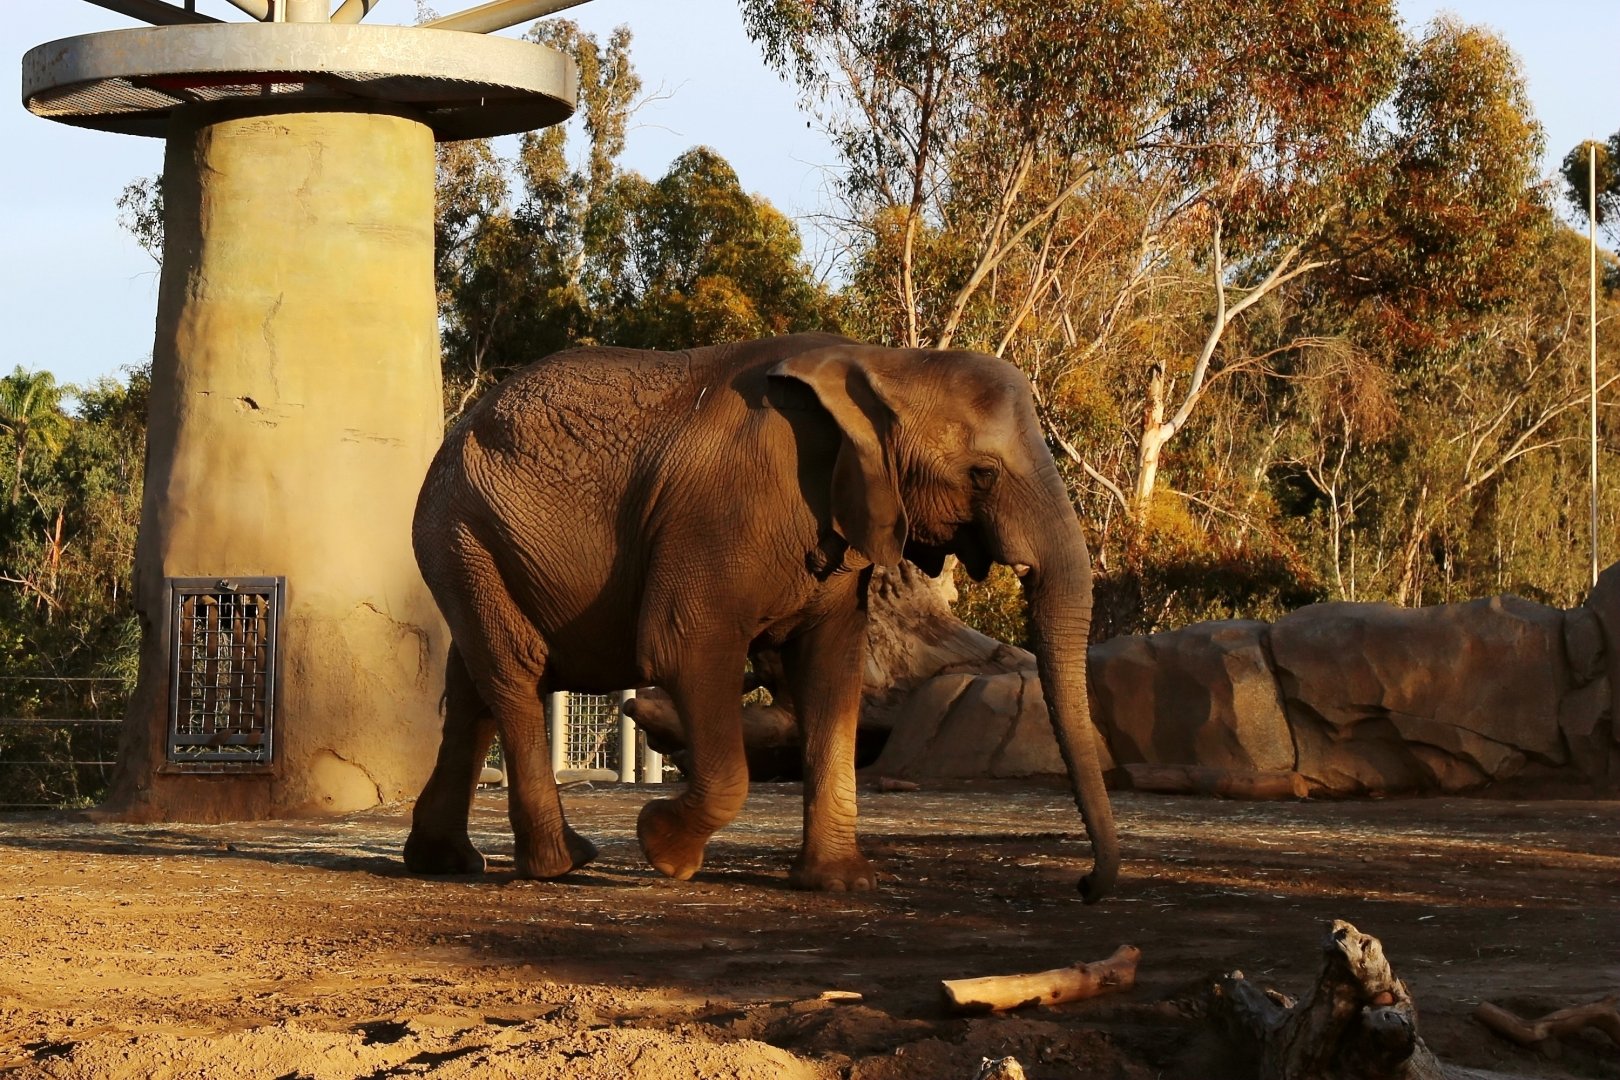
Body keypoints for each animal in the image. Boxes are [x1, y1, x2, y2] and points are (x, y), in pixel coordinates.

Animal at [402, 332, 1119, 900]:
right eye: (983, 474)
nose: (1086, 887)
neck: (881, 365)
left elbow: (831, 668)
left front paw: (841, 884)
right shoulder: (722, 512)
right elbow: (684, 649)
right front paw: (662, 849)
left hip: (475, 546)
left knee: (474, 688)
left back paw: (447, 863)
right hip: (465, 533)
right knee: (516, 674)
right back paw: (563, 865)